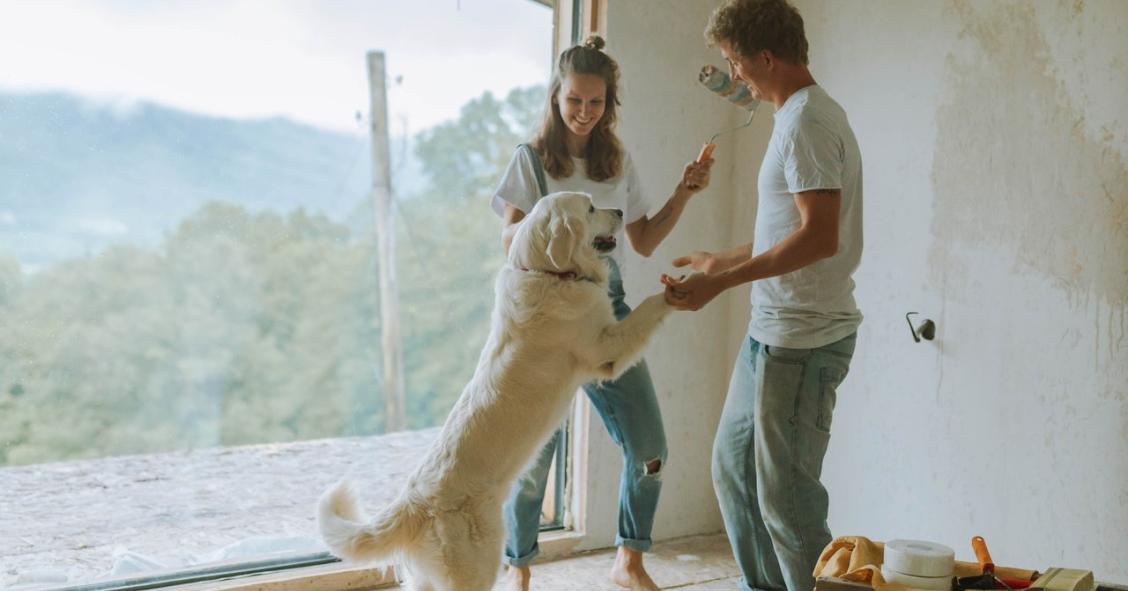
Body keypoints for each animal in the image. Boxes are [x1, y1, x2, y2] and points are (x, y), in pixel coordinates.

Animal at [318, 192, 667, 591]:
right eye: (591, 207)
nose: (621, 211)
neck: (548, 273)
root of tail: (414, 502)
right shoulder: (606, 348)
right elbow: (647, 310)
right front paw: (680, 288)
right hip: (478, 564)